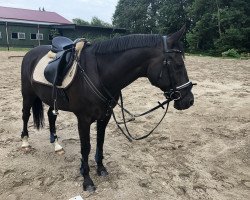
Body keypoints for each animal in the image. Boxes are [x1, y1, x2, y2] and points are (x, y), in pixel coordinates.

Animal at [20, 25, 194, 191]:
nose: (189, 101)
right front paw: (87, 179)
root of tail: (31, 53)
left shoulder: (105, 116)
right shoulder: (83, 120)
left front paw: (101, 168)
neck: (99, 74)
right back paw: (25, 143)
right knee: (25, 115)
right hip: (28, 95)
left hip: (52, 100)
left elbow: (100, 141)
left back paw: (56, 145)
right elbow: (86, 147)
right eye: (178, 65)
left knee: (51, 115)